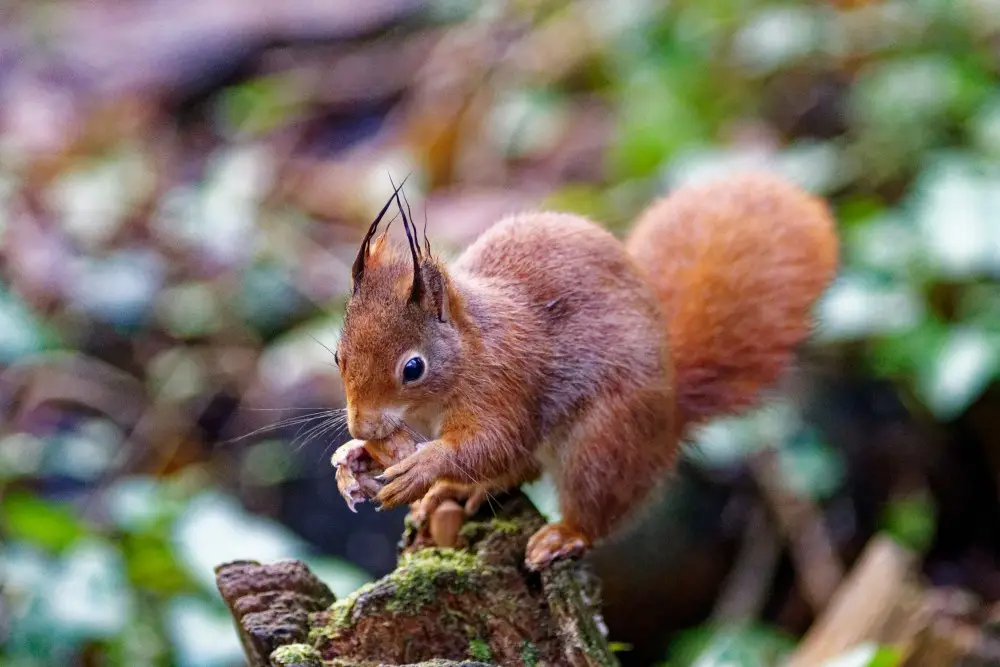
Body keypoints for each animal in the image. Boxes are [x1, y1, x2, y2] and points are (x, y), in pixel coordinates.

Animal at [331, 172, 839, 571]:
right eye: (338, 356)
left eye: (413, 368)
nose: (362, 425)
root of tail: (671, 411)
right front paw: (355, 457)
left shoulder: (503, 383)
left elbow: (492, 443)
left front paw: (423, 467)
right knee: (523, 469)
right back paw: (453, 494)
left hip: (605, 442)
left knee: (590, 501)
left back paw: (563, 533)